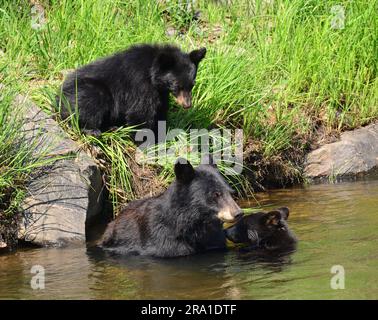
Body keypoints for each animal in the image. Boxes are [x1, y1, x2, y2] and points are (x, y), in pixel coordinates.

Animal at [55, 44, 207, 139]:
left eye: (192, 85)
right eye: (177, 85)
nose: (187, 105)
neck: (152, 75)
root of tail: (58, 97)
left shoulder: (160, 92)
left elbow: (160, 109)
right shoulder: (140, 84)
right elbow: (141, 111)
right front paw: (147, 139)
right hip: (87, 90)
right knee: (89, 105)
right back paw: (92, 130)